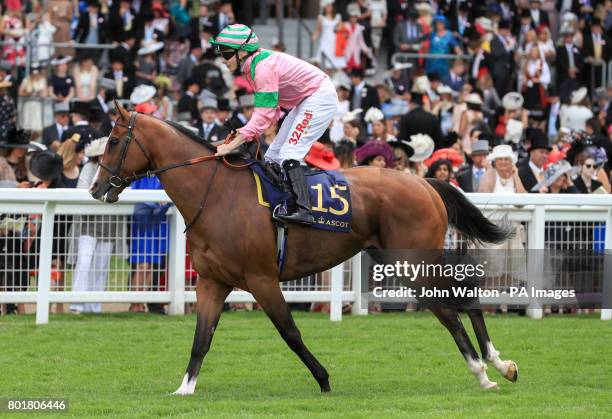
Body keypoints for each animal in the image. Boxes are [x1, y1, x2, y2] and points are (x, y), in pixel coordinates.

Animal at [91, 103, 520, 396]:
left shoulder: (262, 279)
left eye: (112, 141)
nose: (96, 188)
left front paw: (324, 378)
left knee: (449, 309)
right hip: (400, 258)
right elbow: (202, 337)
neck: (216, 196)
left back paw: (483, 373)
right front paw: (185, 388)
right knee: (464, 296)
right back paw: (500, 365)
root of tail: (425, 182)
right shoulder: (212, 281)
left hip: (410, 262)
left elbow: (290, 332)